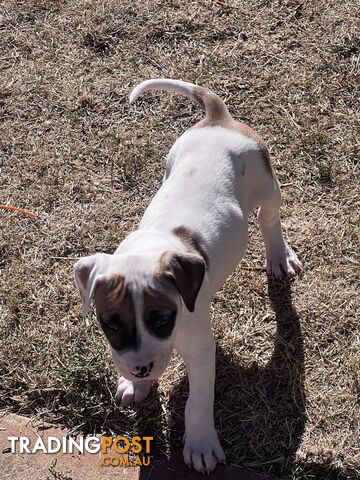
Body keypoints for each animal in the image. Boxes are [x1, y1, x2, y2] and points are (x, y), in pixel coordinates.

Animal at [74, 79, 302, 472]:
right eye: (111, 323)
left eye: (162, 319)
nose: (140, 369)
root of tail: (217, 119)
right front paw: (137, 386)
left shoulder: (199, 350)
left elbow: (197, 401)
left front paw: (200, 445)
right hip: (172, 161)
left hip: (266, 183)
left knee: (269, 218)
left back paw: (279, 256)